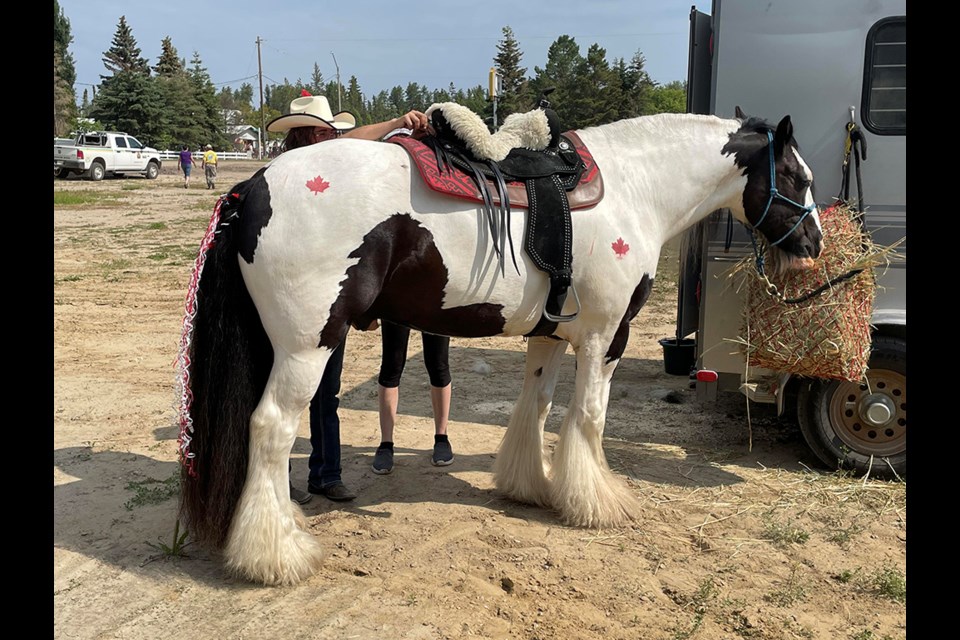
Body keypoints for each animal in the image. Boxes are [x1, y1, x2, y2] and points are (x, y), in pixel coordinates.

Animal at [176, 109, 820, 584]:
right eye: (798, 179)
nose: (813, 244)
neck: (635, 187)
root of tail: (254, 187)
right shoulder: (604, 337)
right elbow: (588, 417)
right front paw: (597, 502)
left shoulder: (553, 334)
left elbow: (535, 407)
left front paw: (530, 486)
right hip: (307, 348)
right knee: (271, 428)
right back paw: (277, 555)